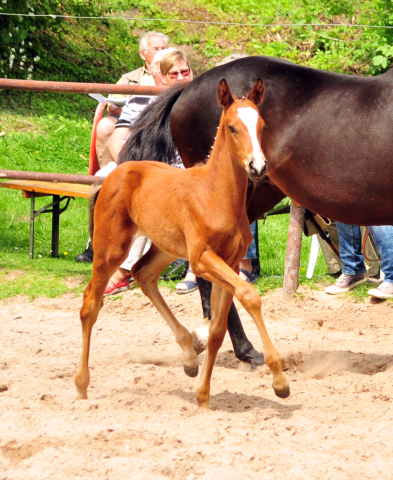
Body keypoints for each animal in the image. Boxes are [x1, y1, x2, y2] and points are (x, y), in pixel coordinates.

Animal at [74, 79, 288, 408]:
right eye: (232, 127)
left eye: (262, 125)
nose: (257, 166)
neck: (217, 195)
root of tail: (116, 171)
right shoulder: (201, 259)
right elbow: (250, 295)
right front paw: (279, 381)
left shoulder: (229, 262)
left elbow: (217, 331)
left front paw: (203, 395)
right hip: (110, 249)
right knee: (90, 305)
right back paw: (82, 385)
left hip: (165, 247)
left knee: (143, 273)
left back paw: (188, 356)